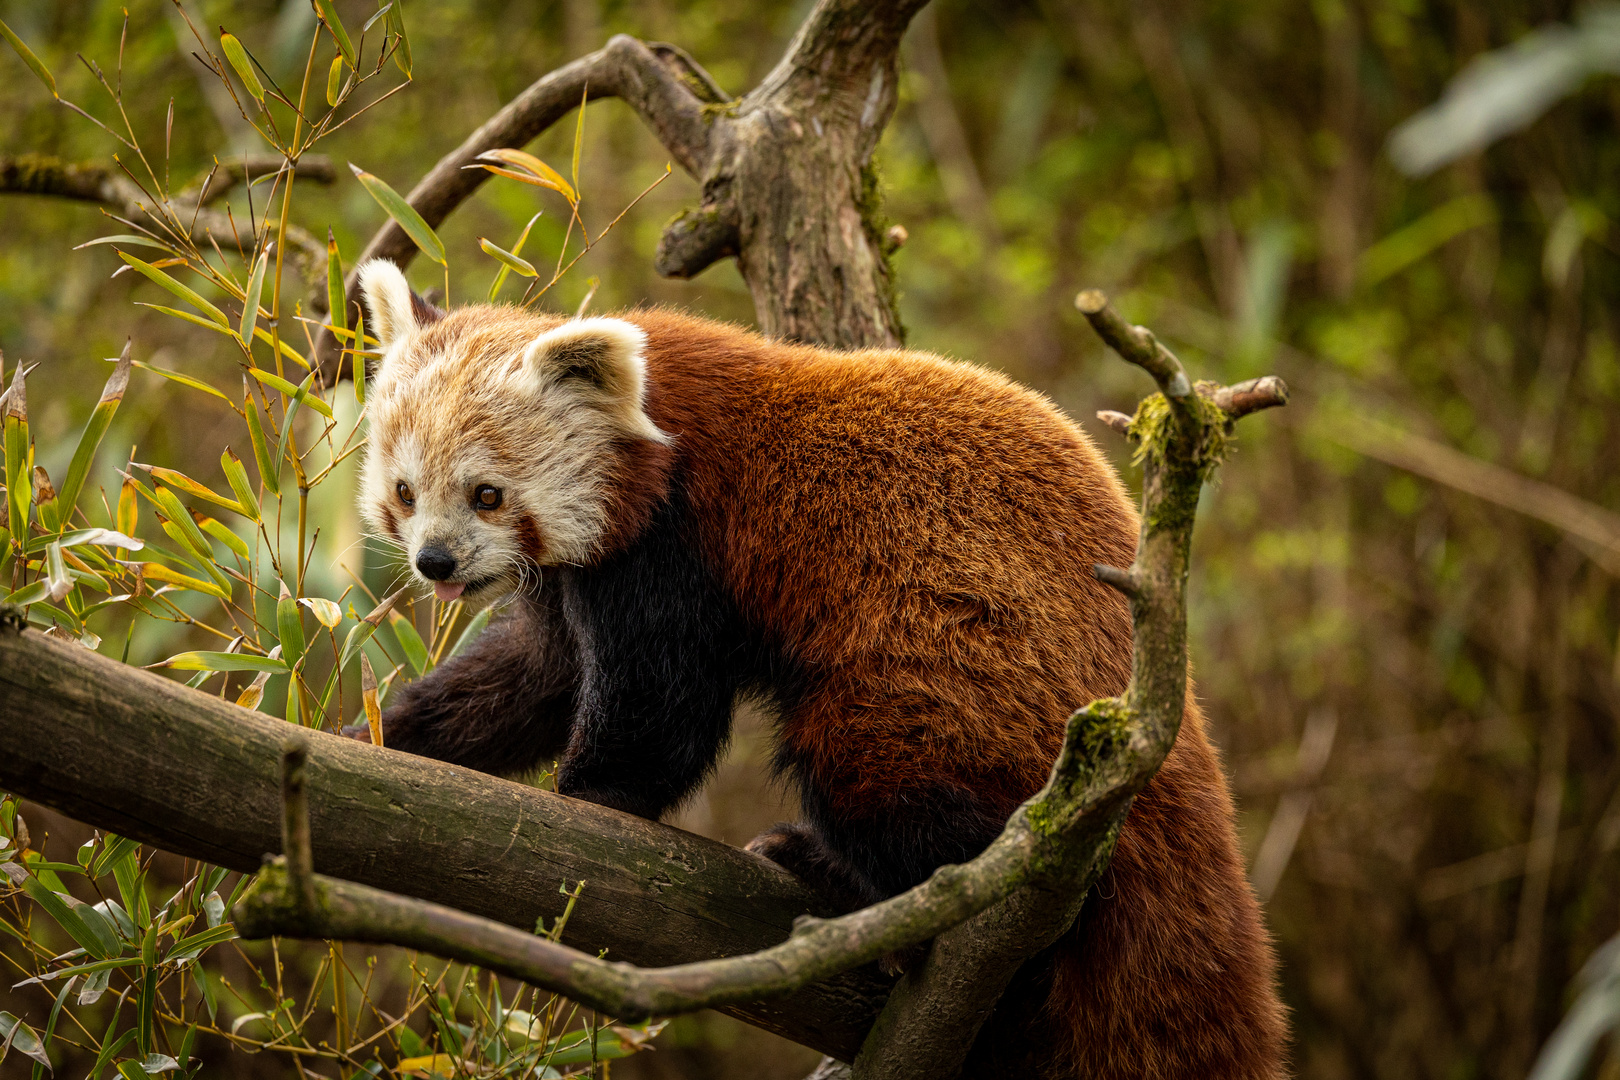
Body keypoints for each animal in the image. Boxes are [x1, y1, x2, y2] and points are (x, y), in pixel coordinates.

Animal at [358, 262, 1289, 1080]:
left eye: (487, 494)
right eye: (405, 493)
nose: (437, 563)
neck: (653, 429)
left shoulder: (679, 539)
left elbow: (662, 710)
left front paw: (594, 793)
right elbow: (532, 677)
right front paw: (391, 737)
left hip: (955, 683)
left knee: (885, 776)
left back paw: (852, 883)